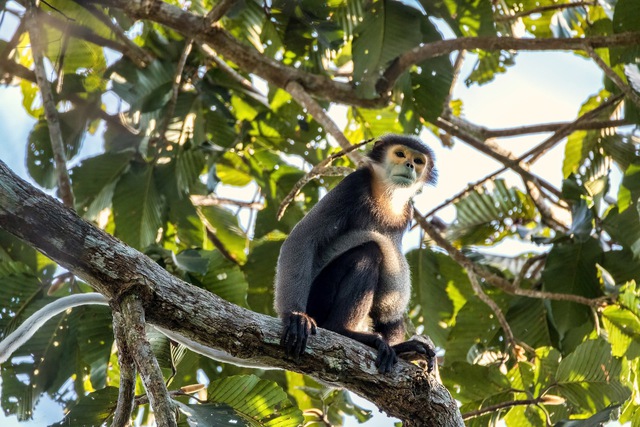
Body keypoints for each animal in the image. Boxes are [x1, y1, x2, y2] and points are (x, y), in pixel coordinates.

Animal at [276, 135, 440, 374]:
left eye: (418, 161)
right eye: (400, 154)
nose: (410, 165)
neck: (387, 194)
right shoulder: (353, 184)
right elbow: (303, 237)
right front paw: (295, 316)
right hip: (319, 297)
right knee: (368, 252)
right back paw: (344, 331)